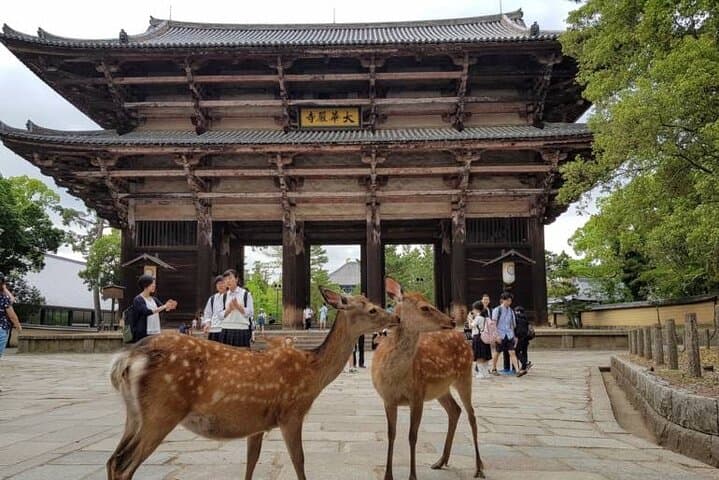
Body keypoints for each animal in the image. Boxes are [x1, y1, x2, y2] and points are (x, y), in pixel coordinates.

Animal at [107, 286, 399, 480]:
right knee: (123, 465)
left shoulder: (257, 423)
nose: (396, 317)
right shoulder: (291, 413)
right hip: (162, 411)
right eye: (372, 309)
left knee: (112, 461)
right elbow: (300, 461)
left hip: (135, 415)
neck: (312, 373)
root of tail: (125, 360)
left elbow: (251, 462)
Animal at [372, 277, 484, 480]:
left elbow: (412, 436)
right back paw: (441, 461)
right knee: (455, 410)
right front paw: (387, 475)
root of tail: (463, 338)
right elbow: (391, 434)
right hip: (441, 389)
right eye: (424, 307)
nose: (452, 320)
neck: (396, 377)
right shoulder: (388, 398)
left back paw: (479, 468)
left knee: (471, 415)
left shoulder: (417, 395)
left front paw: (413, 476)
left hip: (464, 375)